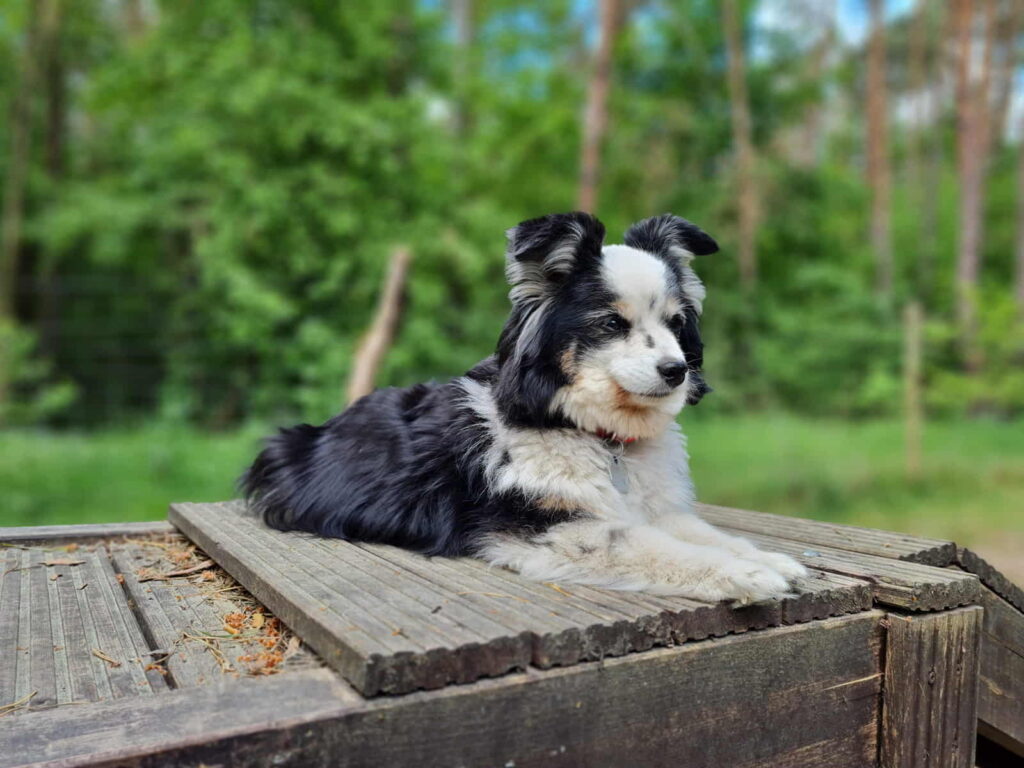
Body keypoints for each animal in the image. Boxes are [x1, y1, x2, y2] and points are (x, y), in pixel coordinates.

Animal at [241, 214, 806, 606]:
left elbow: (702, 532)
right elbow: (653, 547)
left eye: (675, 323)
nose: (677, 371)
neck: (596, 433)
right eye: (611, 324)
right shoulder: (550, 528)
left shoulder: (656, 508)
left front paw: (770, 558)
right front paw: (749, 574)